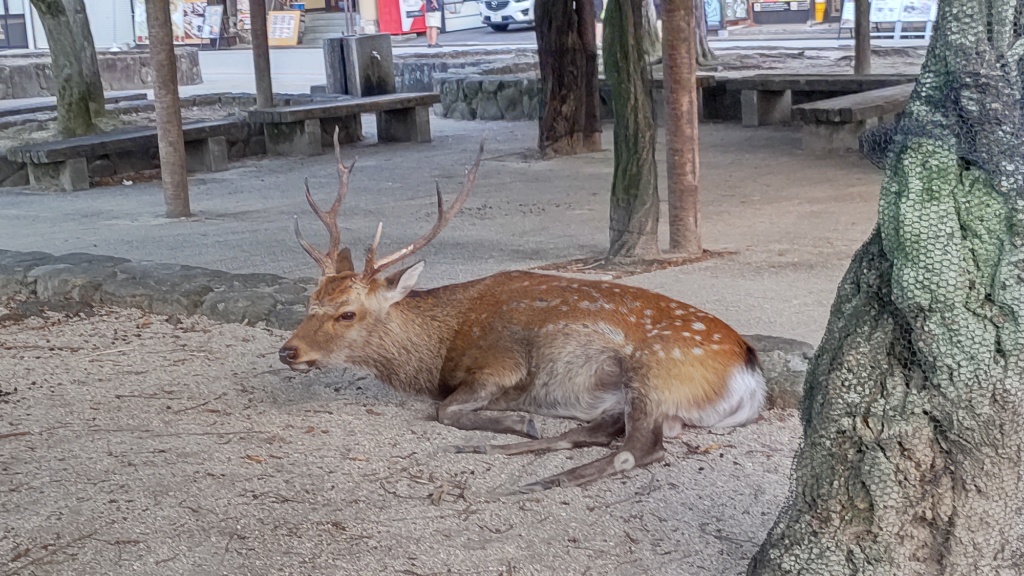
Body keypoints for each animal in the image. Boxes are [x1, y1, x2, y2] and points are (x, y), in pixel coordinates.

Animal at [278, 134, 767, 495]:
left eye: (347, 314)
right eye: (309, 300)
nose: (288, 351)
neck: (438, 352)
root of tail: (752, 375)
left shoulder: (501, 362)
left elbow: (444, 410)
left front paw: (513, 421)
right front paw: (516, 426)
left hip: (656, 370)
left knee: (640, 449)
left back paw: (527, 480)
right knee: (600, 433)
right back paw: (487, 451)